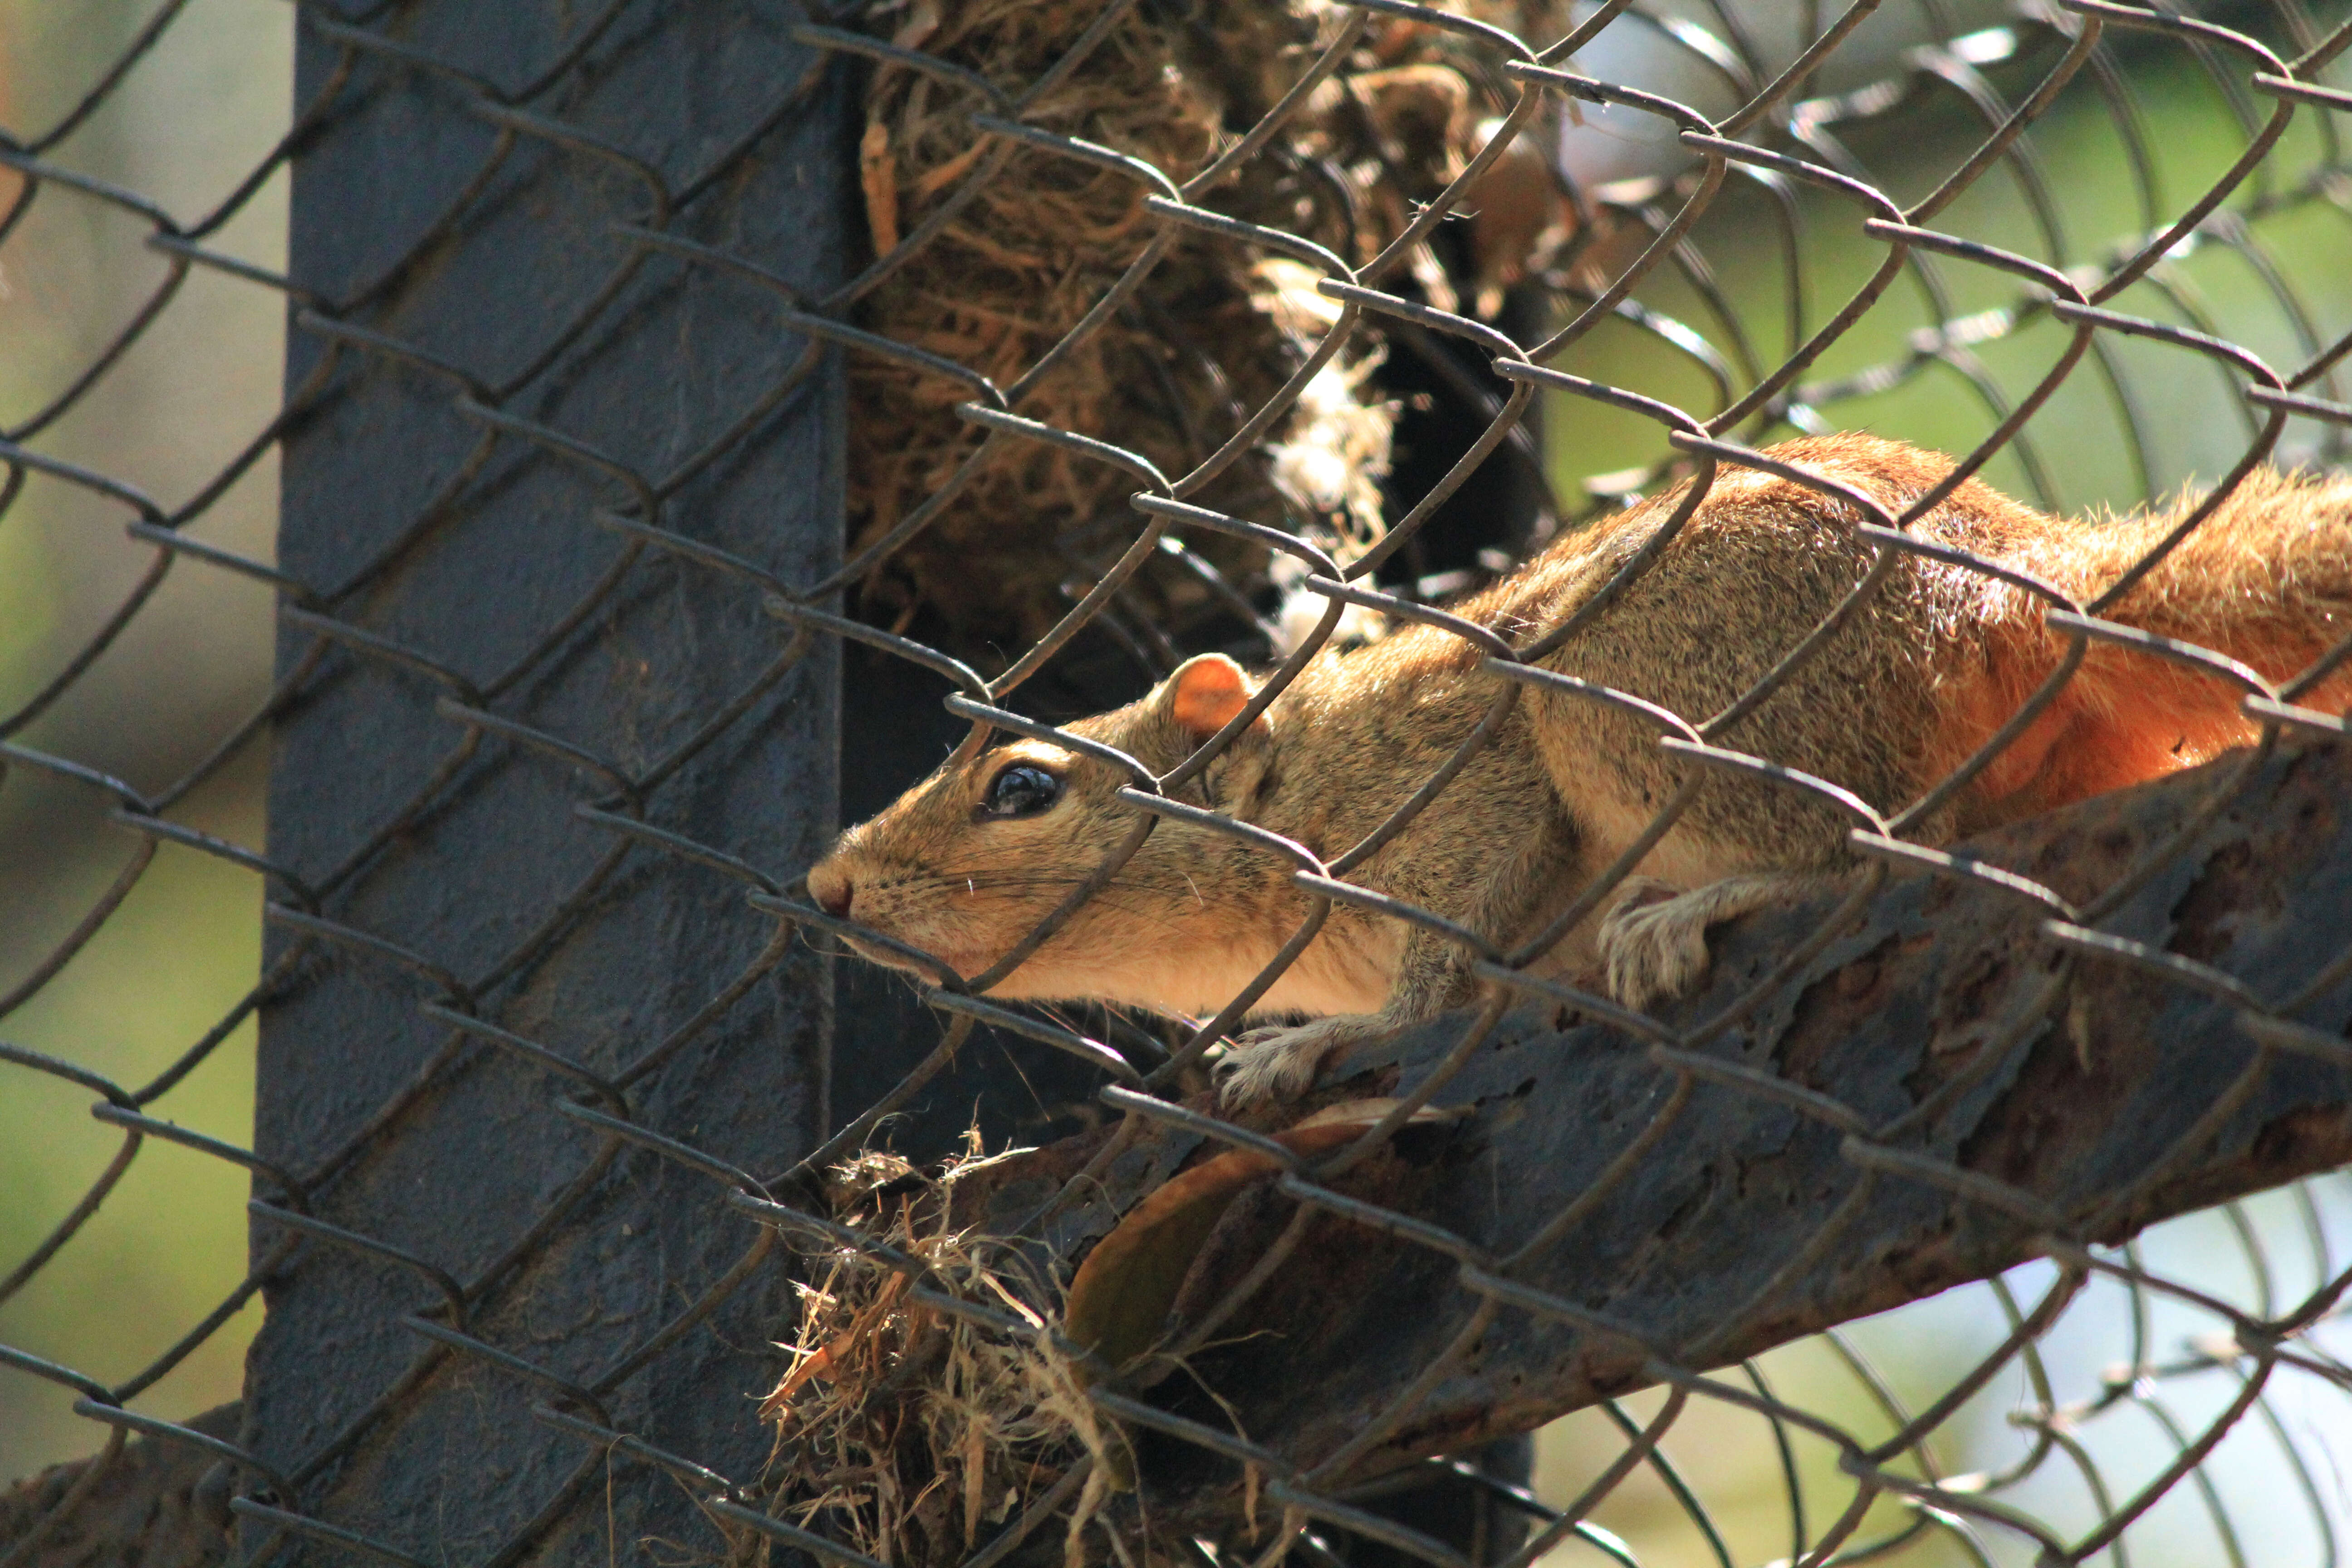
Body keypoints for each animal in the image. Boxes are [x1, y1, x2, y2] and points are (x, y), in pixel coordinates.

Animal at [809, 430, 2352, 1105]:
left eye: (1021, 790)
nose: (826, 890)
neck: (1297, 801)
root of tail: (2024, 596)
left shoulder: (1461, 794)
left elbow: (1447, 972)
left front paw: (1321, 1046)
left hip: (1654, 703)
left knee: (1856, 845)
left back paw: (1703, 906)